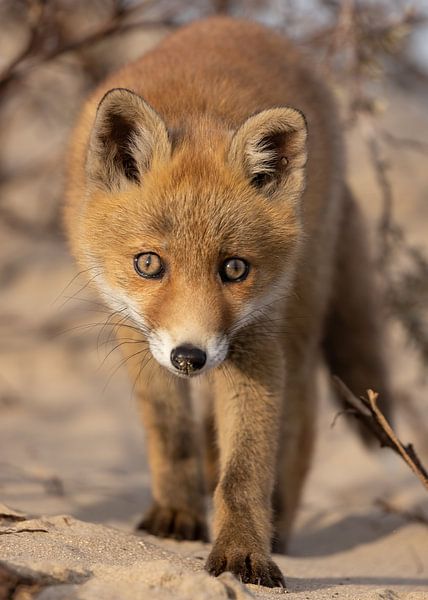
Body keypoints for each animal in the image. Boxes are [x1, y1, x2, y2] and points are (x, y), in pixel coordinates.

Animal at [63, 16, 392, 588]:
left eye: (235, 269)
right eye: (148, 264)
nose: (189, 358)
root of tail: (236, 21)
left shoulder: (255, 342)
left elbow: (245, 470)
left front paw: (242, 552)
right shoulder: (133, 327)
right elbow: (172, 433)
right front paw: (178, 513)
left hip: (299, 323)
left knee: (300, 421)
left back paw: (280, 520)